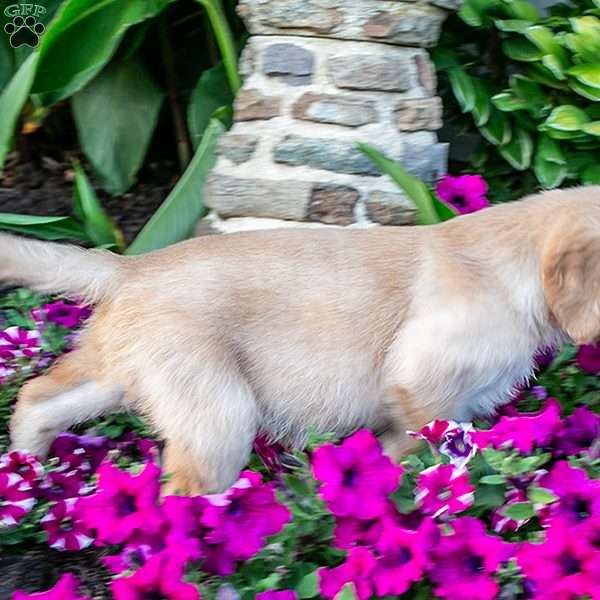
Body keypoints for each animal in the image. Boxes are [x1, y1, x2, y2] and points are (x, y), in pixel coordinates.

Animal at [1, 186, 600, 492]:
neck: (512, 266)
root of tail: (129, 268)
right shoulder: (419, 386)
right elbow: (411, 453)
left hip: (116, 375)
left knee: (35, 398)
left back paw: (28, 474)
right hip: (219, 413)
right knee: (182, 498)